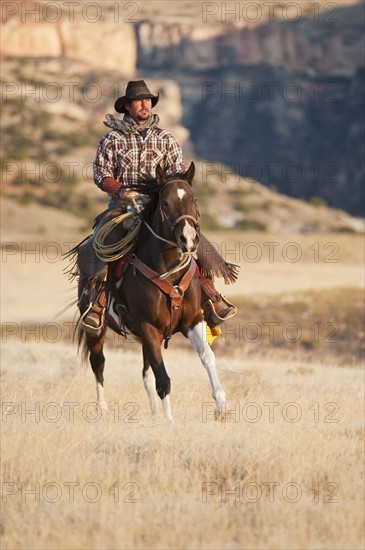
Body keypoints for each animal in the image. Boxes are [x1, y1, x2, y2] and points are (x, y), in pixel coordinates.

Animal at [73, 164, 226, 422]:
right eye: (165, 202)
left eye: (194, 199)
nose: (188, 239)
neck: (169, 273)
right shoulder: (149, 327)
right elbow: (163, 378)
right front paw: (170, 421)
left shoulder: (192, 321)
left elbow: (207, 357)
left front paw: (221, 405)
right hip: (97, 331)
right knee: (99, 363)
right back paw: (102, 408)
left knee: (145, 373)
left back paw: (154, 412)